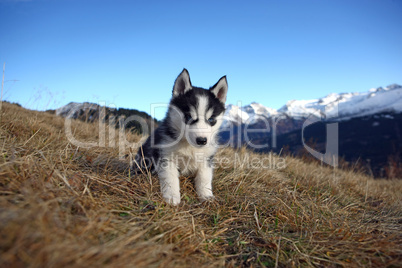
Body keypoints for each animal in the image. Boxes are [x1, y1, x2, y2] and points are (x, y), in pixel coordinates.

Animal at [135, 68, 228, 204]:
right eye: (188, 117)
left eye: (211, 119)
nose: (202, 140)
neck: (188, 146)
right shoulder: (166, 157)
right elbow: (170, 179)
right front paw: (172, 197)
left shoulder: (206, 159)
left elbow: (204, 178)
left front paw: (207, 196)